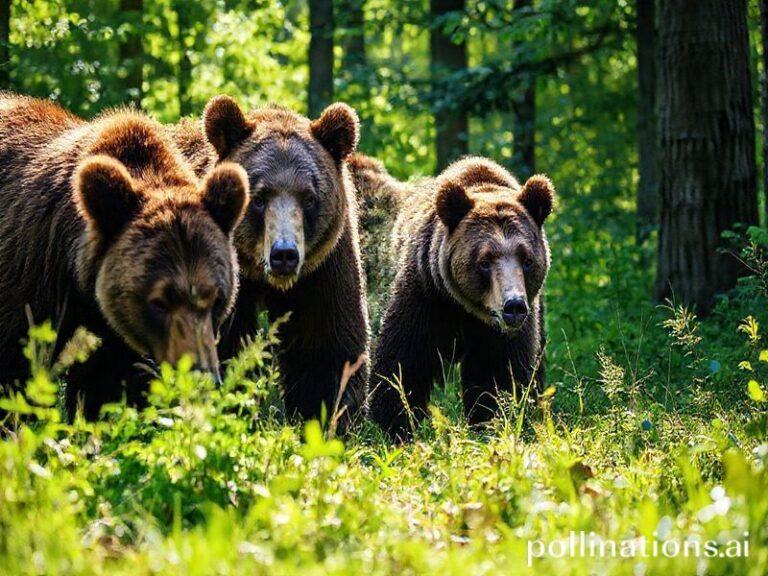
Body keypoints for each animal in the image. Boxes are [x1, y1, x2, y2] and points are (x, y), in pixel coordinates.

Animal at [170, 96, 369, 429]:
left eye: (309, 197)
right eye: (259, 197)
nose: (284, 254)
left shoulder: (323, 270)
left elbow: (326, 350)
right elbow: (226, 348)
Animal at [366, 156, 555, 440]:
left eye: (527, 259)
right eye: (484, 261)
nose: (513, 306)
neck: (466, 309)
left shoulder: (504, 332)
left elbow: (497, 375)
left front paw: (490, 422)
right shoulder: (425, 296)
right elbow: (402, 365)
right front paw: (396, 425)